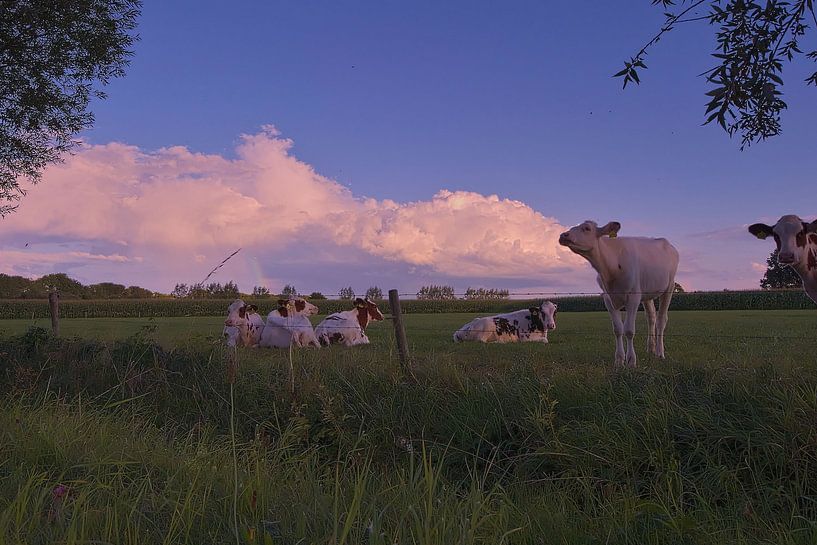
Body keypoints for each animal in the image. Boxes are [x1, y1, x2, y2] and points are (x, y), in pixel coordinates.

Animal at [556, 219, 680, 368]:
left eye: (586, 228)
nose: (563, 235)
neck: (611, 269)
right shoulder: (608, 299)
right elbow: (618, 329)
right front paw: (619, 360)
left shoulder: (633, 297)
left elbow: (629, 330)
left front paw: (631, 361)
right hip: (647, 293)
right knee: (651, 317)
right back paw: (650, 348)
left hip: (669, 286)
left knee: (662, 320)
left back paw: (660, 352)